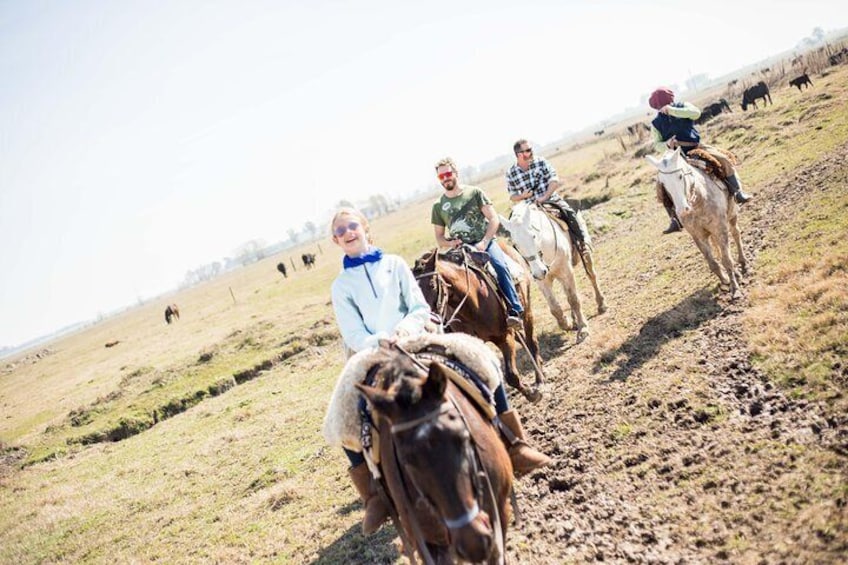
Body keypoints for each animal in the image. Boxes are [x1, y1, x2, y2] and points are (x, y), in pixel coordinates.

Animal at [414, 246, 548, 400]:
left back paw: (539, 379)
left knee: (531, 341)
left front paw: (532, 394)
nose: (427, 323)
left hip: (526, 310)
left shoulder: (504, 337)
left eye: (432, 285)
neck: (473, 302)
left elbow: (511, 376)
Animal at [500, 203, 608, 344]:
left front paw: (583, 329)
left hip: (585, 255)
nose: (539, 271)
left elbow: (574, 299)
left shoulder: (566, 272)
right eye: (516, 244)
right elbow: (554, 308)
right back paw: (574, 320)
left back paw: (601, 305)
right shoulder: (542, 281)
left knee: (591, 276)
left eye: (533, 235)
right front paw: (567, 324)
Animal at [644, 148, 744, 300]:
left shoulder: (720, 228)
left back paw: (743, 262)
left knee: (736, 233)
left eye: (680, 176)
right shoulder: (697, 236)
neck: (699, 200)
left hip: (732, 215)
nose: (682, 210)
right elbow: (712, 262)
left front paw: (735, 290)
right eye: (664, 184)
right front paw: (725, 280)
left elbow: (726, 260)